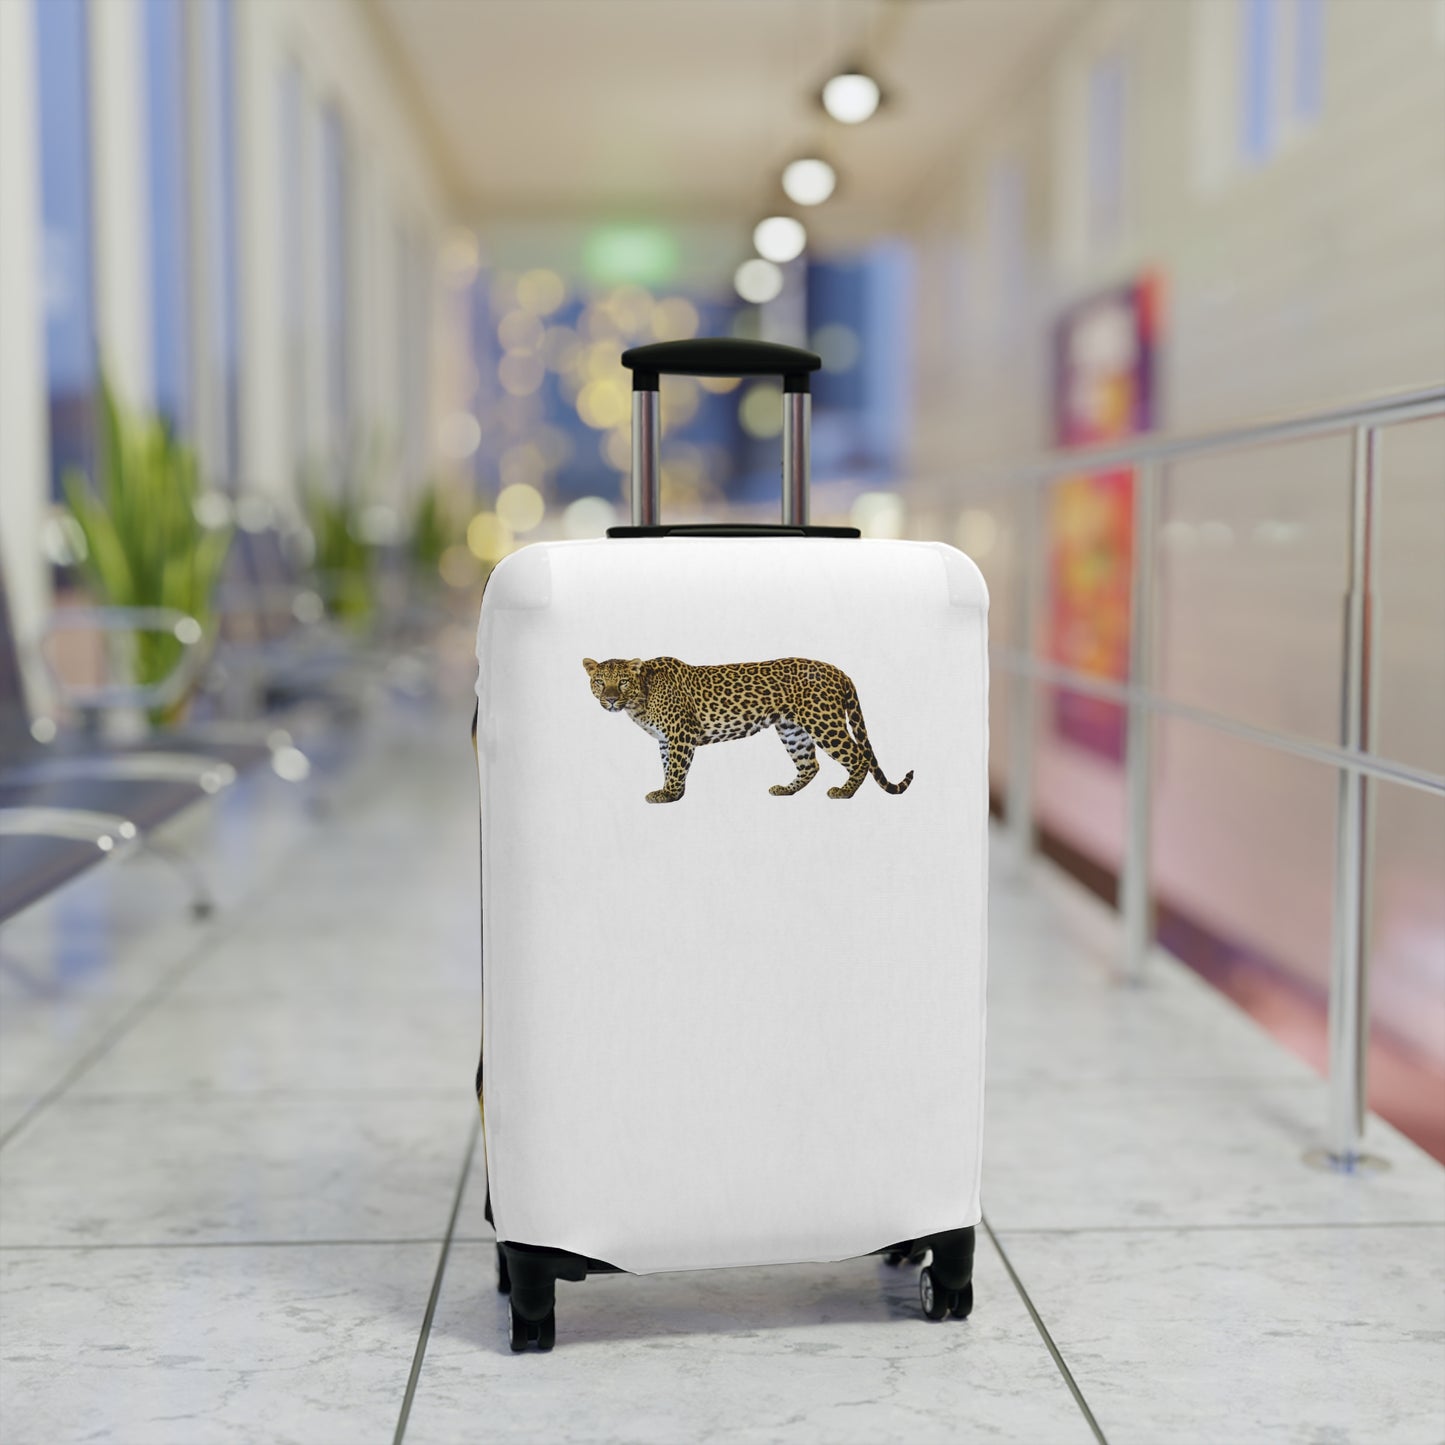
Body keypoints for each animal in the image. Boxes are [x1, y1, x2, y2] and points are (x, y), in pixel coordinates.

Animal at [582, 656, 914, 804]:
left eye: (623, 681)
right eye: (599, 681)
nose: (609, 699)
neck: (640, 699)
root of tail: (839, 671)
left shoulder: (680, 734)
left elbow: (676, 767)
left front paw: (669, 794)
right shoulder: (666, 740)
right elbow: (667, 765)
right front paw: (668, 790)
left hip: (823, 721)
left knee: (858, 755)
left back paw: (844, 792)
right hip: (792, 728)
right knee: (810, 764)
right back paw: (785, 790)